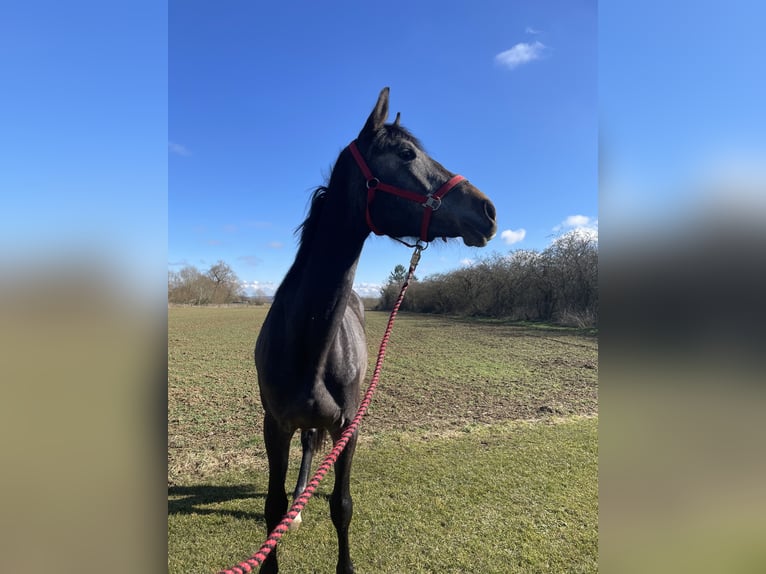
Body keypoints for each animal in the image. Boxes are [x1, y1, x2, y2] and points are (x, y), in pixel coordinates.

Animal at [255, 86, 500, 574]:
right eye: (406, 153)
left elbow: (342, 505)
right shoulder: (275, 426)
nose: (488, 210)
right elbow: (273, 510)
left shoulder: (348, 426)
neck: (308, 343)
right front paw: (286, 514)